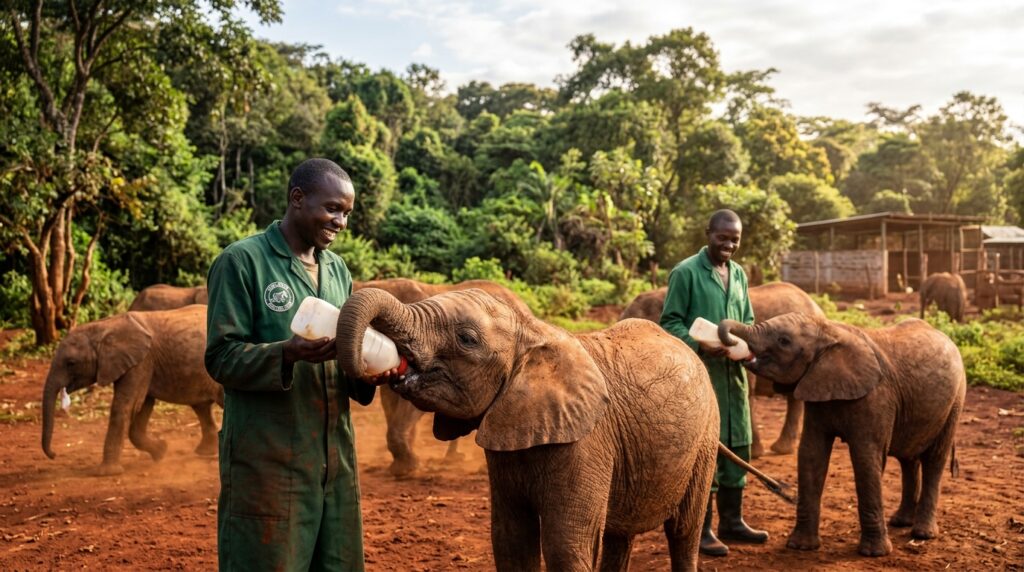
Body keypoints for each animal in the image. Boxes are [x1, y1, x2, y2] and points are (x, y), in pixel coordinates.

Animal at [42, 305, 224, 476]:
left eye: (71, 363)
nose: (54, 455)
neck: (103, 326)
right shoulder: (141, 364)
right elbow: (142, 406)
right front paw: (161, 451)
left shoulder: (141, 362)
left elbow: (125, 406)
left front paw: (106, 473)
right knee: (201, 407)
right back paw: (205, 453)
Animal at [718, 314, 965, 557]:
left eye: (784, 341)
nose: (731, 345)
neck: (829, 331)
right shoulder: (816, 389)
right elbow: (811, 454)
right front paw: (800, 547)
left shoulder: (876, 396)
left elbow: (866, 459)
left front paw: (874, 553)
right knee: (909, 459)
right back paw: (900, 522)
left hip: (955, 401)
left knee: (934, 460)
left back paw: (923, 533)